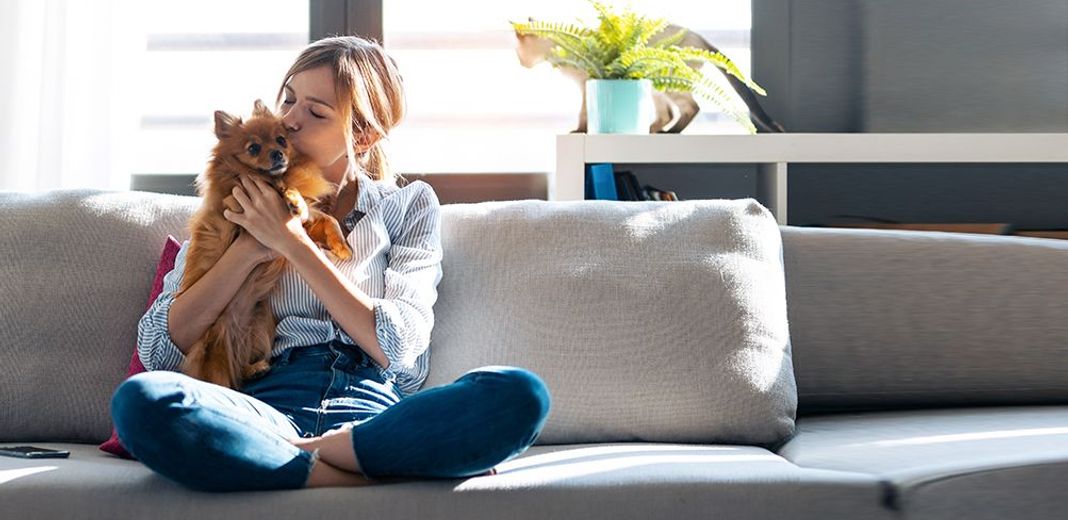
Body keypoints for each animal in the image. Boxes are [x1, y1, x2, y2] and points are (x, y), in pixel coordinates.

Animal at [177, 98, 352, 390]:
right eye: (254, 148)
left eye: (281, 140)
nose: (278, 154)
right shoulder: (233, 205)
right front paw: (289, 196)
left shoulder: (306, 220)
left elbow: (325, 218)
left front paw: (341, 246)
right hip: (213, 342)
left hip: (263, 325)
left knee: (240, 366)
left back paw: (254, 369)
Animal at [516, 19, 786, 134]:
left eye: (519, 53)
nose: (521, 64)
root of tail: (700, 38)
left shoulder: (585, 84)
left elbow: (583, 115)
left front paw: (579, 130)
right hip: (656, 87)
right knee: (667, 114)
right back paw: (652, 129)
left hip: (668, 84)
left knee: (691, 108)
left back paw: (669, 133)